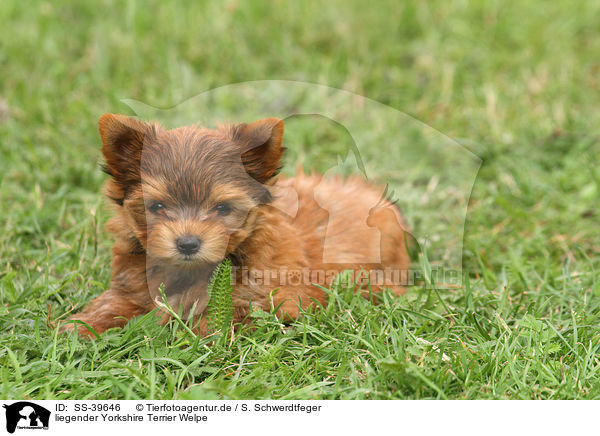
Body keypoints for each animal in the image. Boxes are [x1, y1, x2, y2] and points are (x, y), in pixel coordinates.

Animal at [63, 113, 410, 338]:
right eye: (157, 207)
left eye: (222, 208)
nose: (187, 243)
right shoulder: (133, 285)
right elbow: (115, 302)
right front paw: (81, 326)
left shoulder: (277, 297)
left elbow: (224, 316)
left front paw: (191, 331)